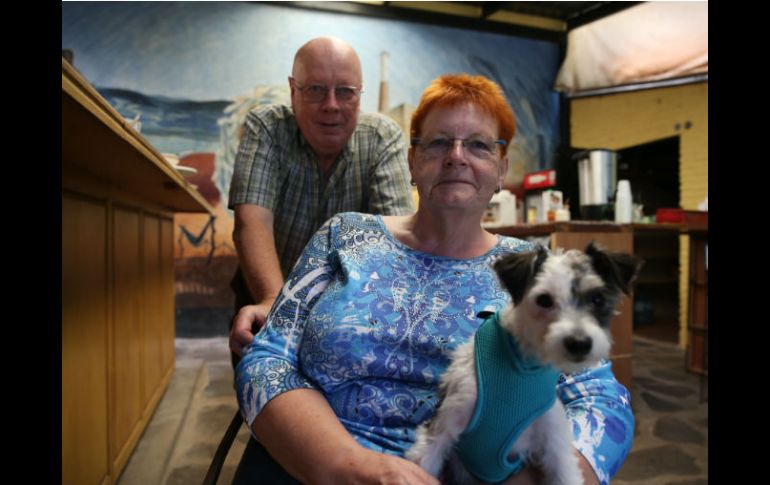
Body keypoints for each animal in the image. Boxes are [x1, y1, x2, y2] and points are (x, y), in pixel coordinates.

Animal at [408, 242, 640, 484]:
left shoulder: (554, 441)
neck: (522, 364)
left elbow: (564, 473)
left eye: (597, 299)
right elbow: (427, 460)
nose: (579, 343)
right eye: (544, 300)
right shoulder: (442, 427)